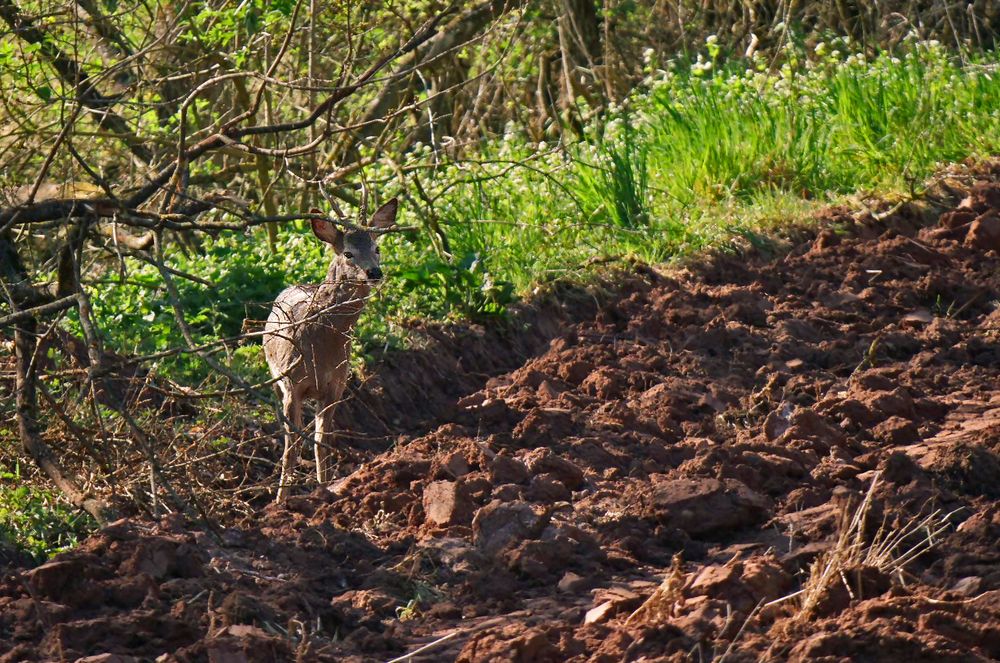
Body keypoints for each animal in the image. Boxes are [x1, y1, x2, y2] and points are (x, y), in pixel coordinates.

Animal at [266, 200, 398, 500]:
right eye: (348, 253)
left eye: (377, 247)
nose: (374, 272)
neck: (321, 345)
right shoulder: (293, 384)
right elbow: (292, 447)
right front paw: (280, 500)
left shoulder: (336, 386)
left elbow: (321, 441)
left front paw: (324, 491)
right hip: (277, 380)